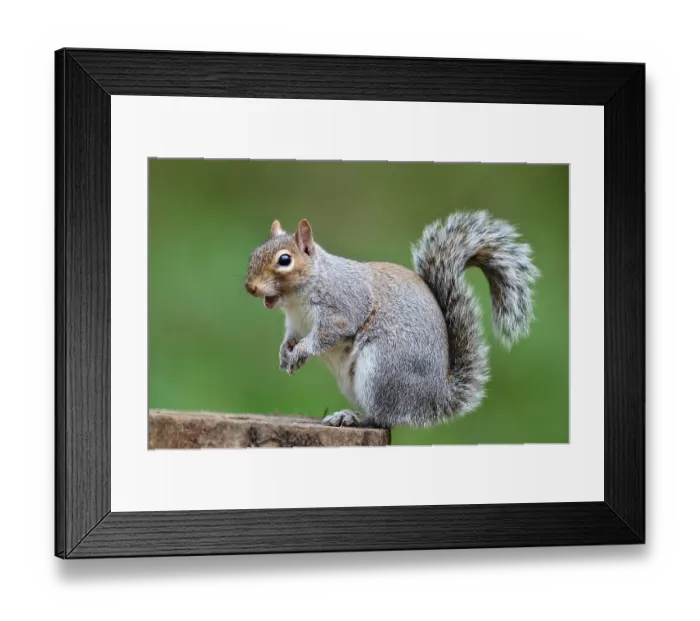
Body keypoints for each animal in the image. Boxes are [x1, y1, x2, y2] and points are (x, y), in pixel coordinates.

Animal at [244, 211, 540, 429]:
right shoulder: (294, 324)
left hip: (381, 369)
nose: (250, 287)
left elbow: (328, 333)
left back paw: (352, 417)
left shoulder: (343, 307)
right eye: (254, 254)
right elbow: (290, 338)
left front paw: (301, 351)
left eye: (285, 259)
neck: (296, 300)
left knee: (383, 418)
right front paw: (286, 354)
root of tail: (435, 398)